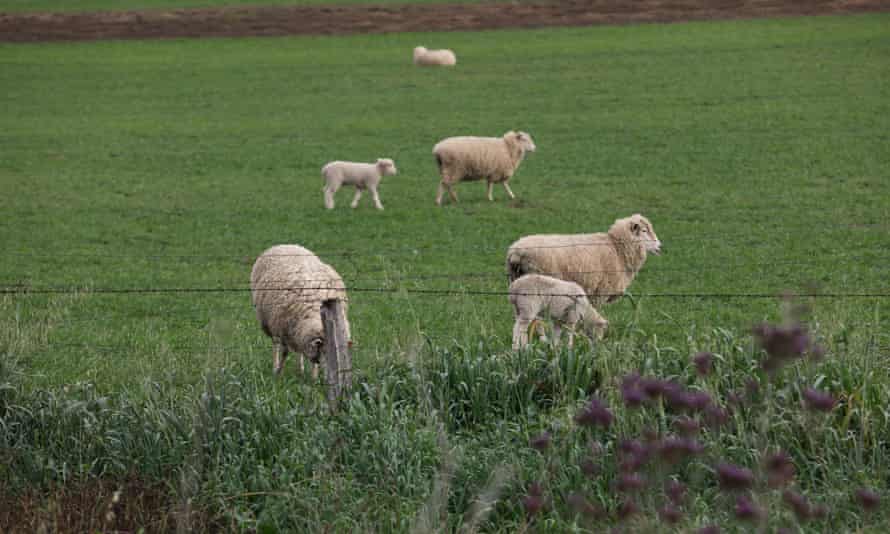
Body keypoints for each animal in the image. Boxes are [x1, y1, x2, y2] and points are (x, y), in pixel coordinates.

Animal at [250, 244, 350, 378]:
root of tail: (285, 245)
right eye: (325, 353)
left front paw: (314, 377)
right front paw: (278, 372)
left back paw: (301, 369)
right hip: (270, 323)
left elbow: (311, 358)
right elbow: (285, 352)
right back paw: (275, 366)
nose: (330, 376)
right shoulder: (283, 328)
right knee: (276, 345)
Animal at [505, 214, 662, 315]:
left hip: (517, 282)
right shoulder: (601, 291)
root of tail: (516, 252)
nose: (660, 246)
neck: (617, 248)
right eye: (644, 231)